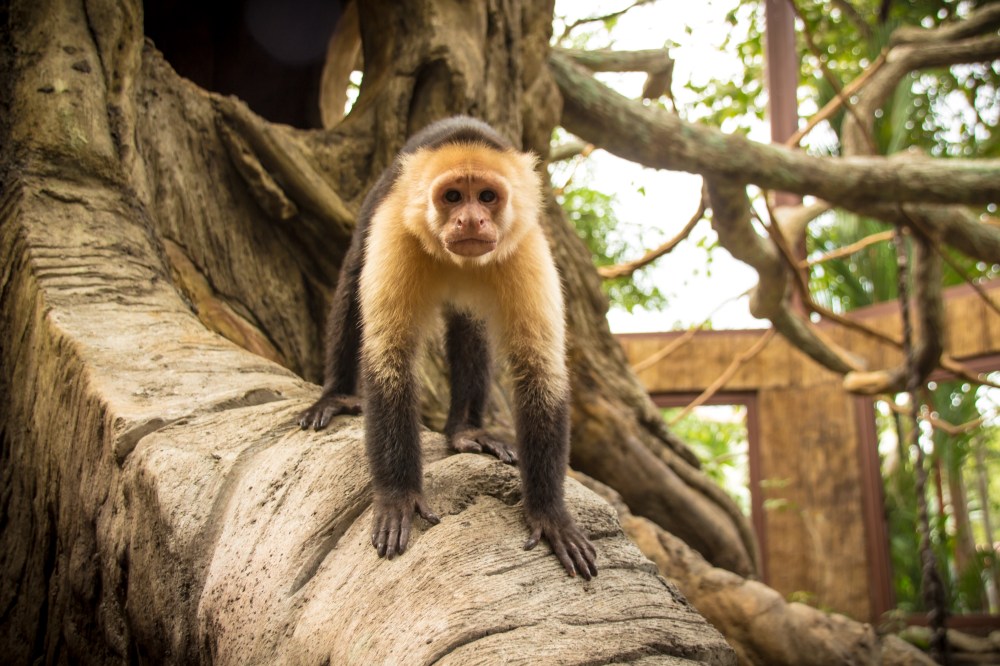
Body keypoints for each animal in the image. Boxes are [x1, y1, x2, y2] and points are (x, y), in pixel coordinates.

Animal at [299, 116, 597, 580]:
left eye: (487, 197)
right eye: (453, 196)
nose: (471, 220)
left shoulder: (527, 246)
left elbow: (540, 370)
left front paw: (549, 513)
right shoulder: (395, 228)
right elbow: (390, 357)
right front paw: (399, 494)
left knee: (469, 325)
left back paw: (465, 432)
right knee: (352, 279)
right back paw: (337, 394)